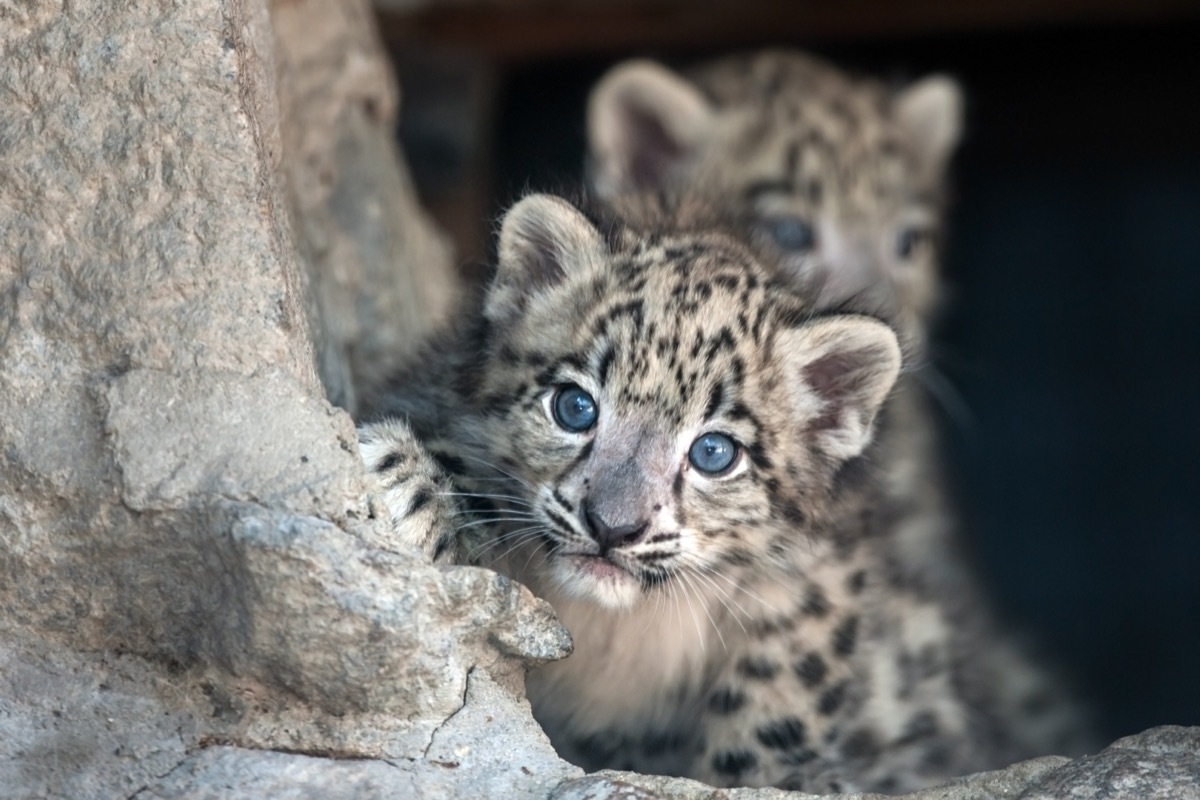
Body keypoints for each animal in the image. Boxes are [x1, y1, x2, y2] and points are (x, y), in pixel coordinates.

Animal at [357, 191, 1071, 793]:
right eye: (574, 407)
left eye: (714, 452)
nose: (612, 526)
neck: (613, 632)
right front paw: (411, 479)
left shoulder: (817, 582)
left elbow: (786, 682)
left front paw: (779, 775)